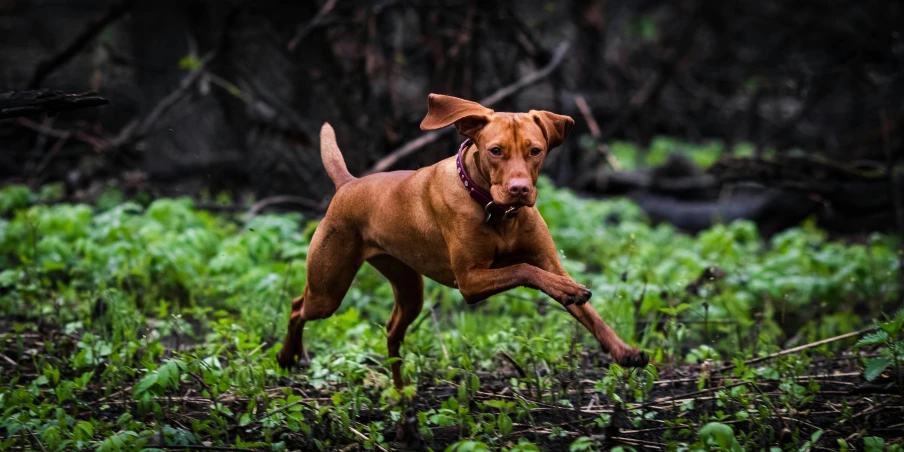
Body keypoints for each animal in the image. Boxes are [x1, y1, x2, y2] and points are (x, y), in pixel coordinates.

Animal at [278, 93, 648, 386]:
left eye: (536, 151)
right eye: (496, 151)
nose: (519, 189)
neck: (496, 211)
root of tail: (348, 183)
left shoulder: (550, 263)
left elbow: (591, 315)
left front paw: (625, 352)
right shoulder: (470, 281)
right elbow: (525, 270)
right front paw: (566, 290)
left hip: (408, 290)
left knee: (391, 331)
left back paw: (401, 396)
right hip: (328, 290)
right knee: (297, 307)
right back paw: (287, 357)